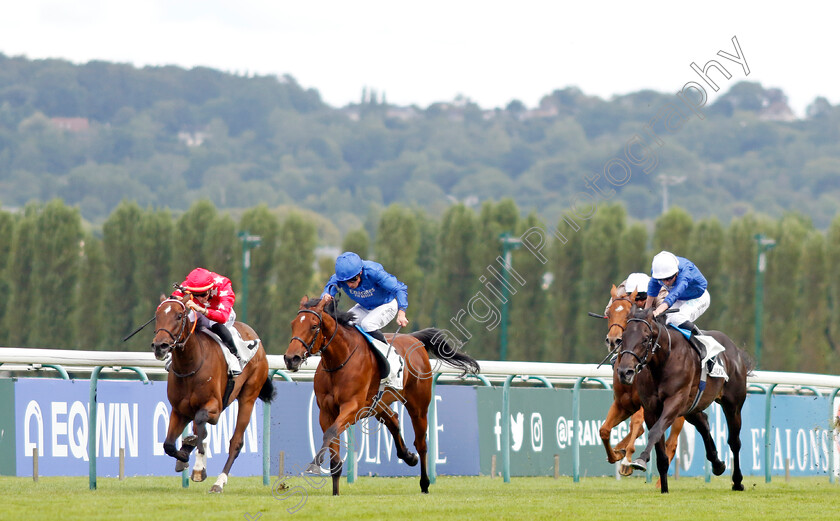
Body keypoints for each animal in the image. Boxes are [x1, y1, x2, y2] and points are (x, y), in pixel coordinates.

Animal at [148, 292, 272, 492]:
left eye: (179, 316)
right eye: (157, 315)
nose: (160, 346)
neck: (190, 365)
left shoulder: (214, 406)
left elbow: (201, 424)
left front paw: (194, 458)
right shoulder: (179, 410)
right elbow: (168, 445)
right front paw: (184, 455)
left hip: (249, 396)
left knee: (235, 442)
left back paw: (218, 482)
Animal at [284, 296, 480, 496]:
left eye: (314, 326)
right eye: (293, 324)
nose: (291, 358)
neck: (340, 361)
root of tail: (414, 339)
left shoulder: (352, 407)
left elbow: (331, 432)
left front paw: (314, 465)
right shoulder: (326, 411)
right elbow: (332, 442)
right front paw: (335, 491)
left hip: (418, 406)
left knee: (421, 443)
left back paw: (424, 482)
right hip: (378, 404)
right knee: (393, 419)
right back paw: (408, 456)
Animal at [596, 284, 684, 480]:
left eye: (628, 315)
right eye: (609, 312)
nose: (613, 340)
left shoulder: (645, 404)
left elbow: (637, 424)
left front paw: (627, 461)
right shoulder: (623, 404)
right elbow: (604, 430)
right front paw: (616, 455)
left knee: (672, 443)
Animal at [612, 304, 752, 492]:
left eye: (645, 339)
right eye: (624, 337)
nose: (624, 372)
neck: (664, 360)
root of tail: (734, 349)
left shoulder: (674, 402)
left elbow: (655, 431)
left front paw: (641, 460)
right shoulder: (651, 408)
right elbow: (660, 448)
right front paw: (664, 489)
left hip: (733, 405)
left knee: (734, 441)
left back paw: (737, 481)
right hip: (692, 407)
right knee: (704, 424)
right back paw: (717, 464)